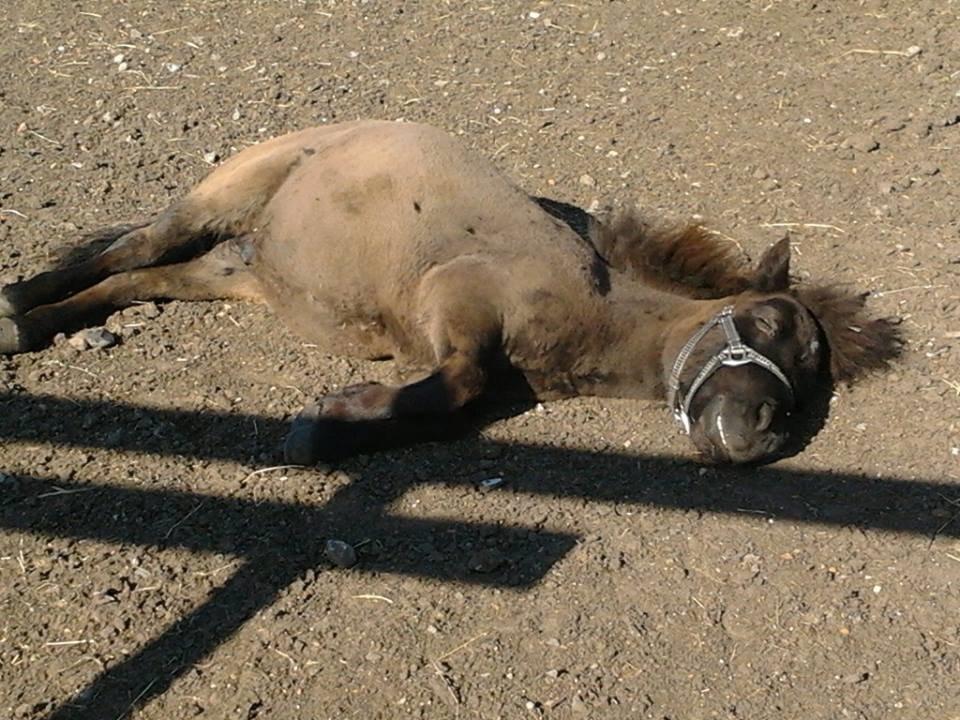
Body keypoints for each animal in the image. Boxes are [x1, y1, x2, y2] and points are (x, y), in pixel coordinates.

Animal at [0, 121, 900, 464]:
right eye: (767, 320)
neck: (587, 306)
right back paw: (17, 307)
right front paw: (328, 426)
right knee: (137, 246)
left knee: (136, 276)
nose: (762, 433)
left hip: (239, 272)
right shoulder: (453, 305)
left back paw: (39, 321)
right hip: (225, 195)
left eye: (815, 372)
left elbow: (455, 393)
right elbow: (457, 387)